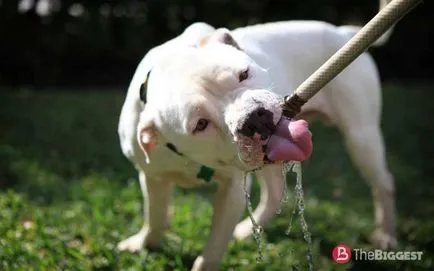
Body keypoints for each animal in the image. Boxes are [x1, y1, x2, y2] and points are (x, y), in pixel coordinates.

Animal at [117, 1, 396, 270]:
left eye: (243, 74)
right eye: (201, 124)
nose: (253, 117)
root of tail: (343, 32)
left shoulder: (232, 190)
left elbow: (214, 246)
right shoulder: (151, 177)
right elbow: (155, 216)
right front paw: (143, 244)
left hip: (361, 137)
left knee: (383, 183)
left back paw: (386, 235)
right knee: (274, 193)